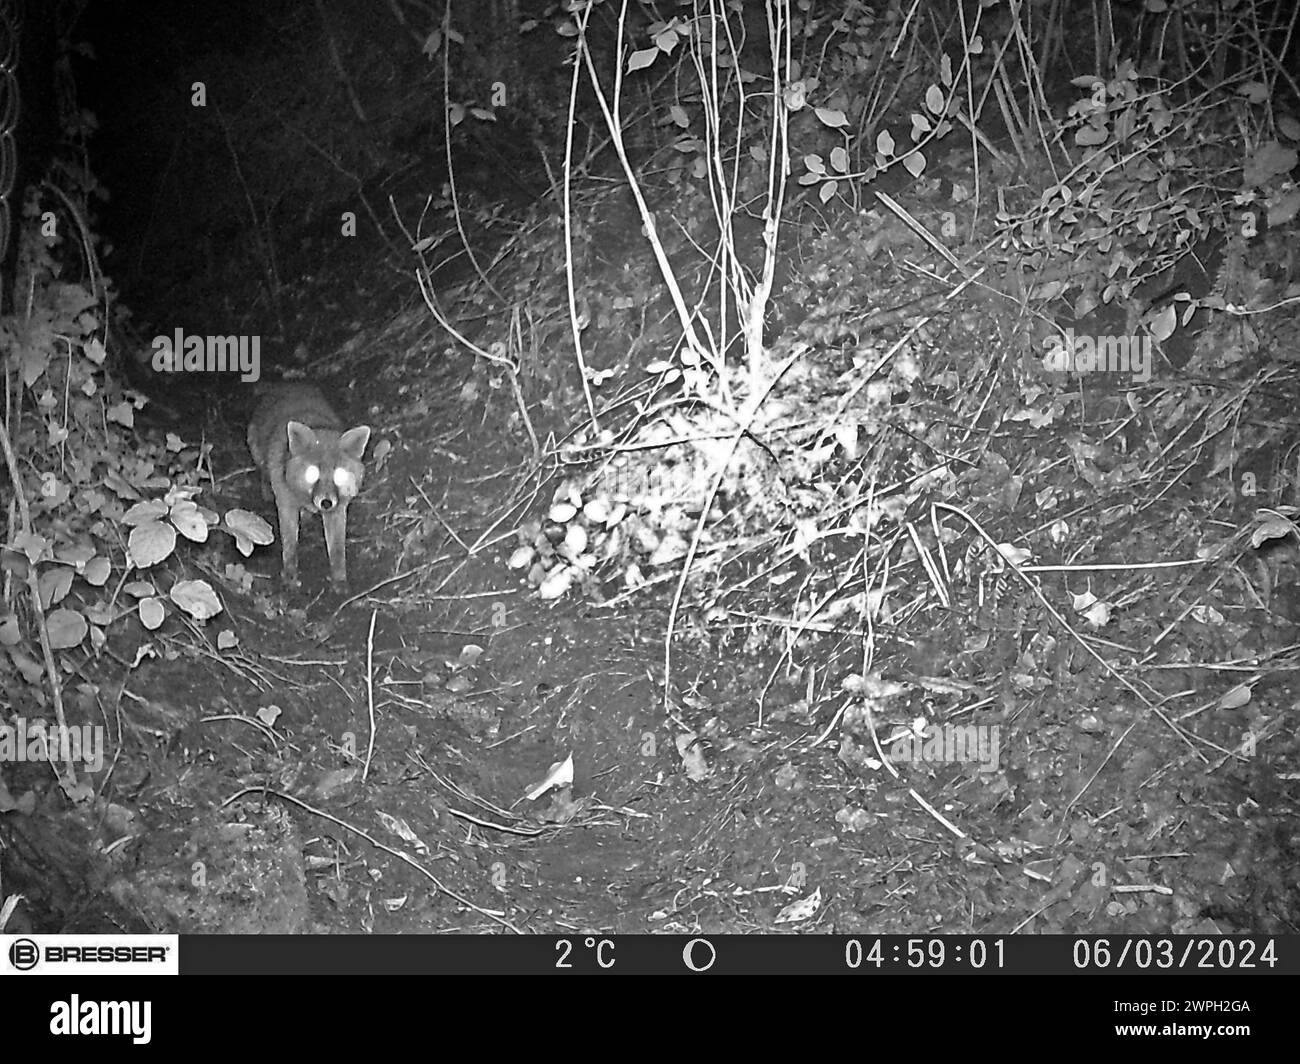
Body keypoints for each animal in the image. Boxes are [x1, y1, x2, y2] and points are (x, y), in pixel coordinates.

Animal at [244, 382, 369, 587]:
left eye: (339, 475)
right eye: (313, 473)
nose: (325, 503)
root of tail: (288, 384)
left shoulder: (337, 509)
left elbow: (337, 550)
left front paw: (339, 580)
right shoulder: (286, 504)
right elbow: (290, 544)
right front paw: (290, 575)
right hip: (257, 453)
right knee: (263, 472)